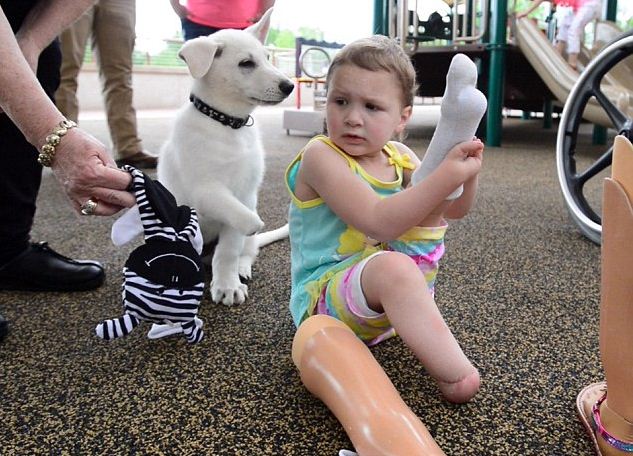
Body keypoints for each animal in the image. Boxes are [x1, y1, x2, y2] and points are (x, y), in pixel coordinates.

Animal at [156, 8, 294, 306]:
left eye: (267, 58)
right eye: (246, 63)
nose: (289, 85)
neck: (227, 124)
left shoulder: (245, 194)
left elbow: (229, 250)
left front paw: (228, 285)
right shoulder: (204, 189)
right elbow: (235, 211)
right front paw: (252, 223)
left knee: (247, 252)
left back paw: (242, 268)